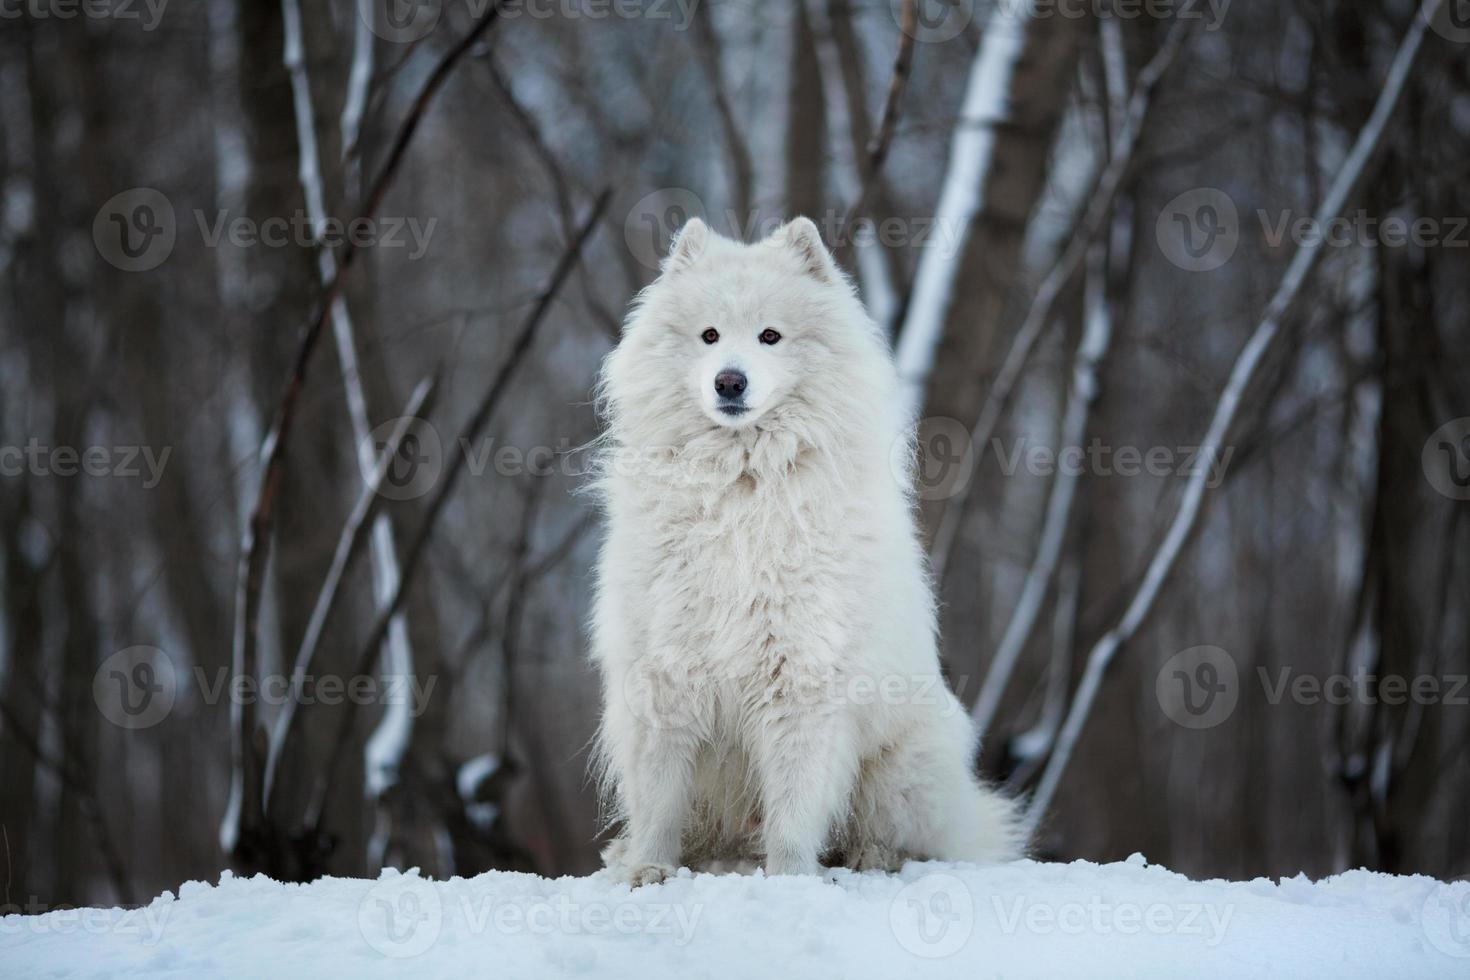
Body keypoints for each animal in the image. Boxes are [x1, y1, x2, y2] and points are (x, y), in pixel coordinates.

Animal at [585, 215, 1023, 887]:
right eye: (709, 335)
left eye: (770, 336)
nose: (729, 380)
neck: (742, 482)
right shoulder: (665, 671)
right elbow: (658, 797)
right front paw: (649, 870)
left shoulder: (801, 680)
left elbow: (794, 811)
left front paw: (792, 881)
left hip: (902, 767)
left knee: (901, 837)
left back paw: (870, 859)